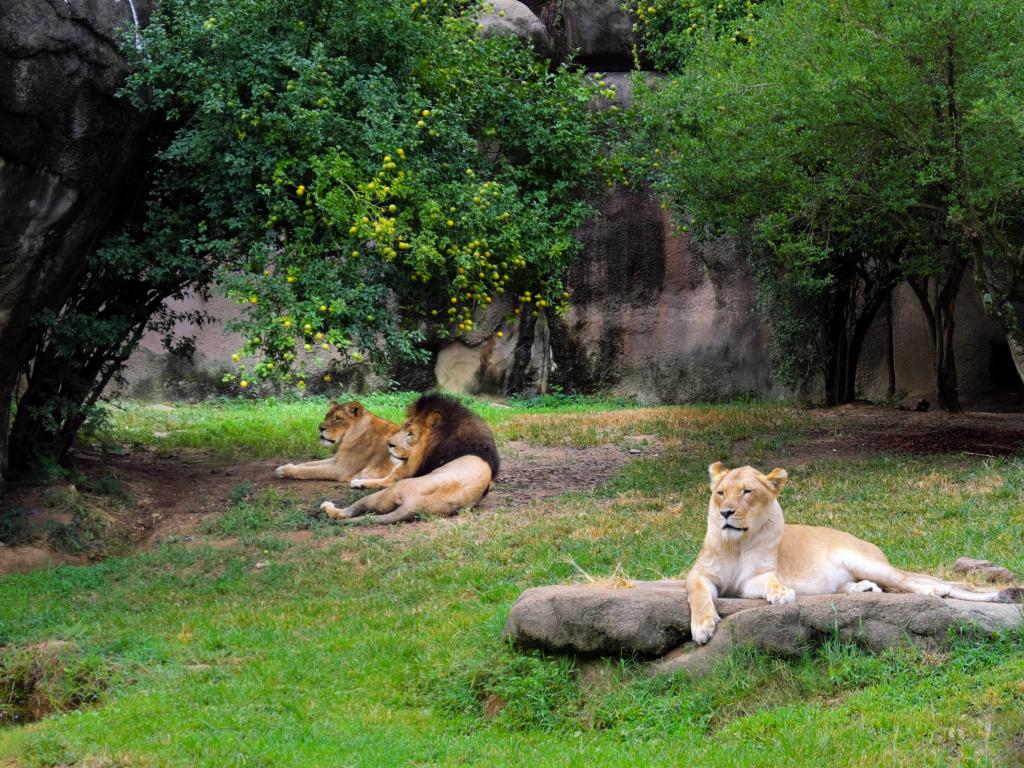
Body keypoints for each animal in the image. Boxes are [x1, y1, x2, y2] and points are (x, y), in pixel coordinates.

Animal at [317, 393, 497, 528]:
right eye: (403, 427)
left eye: (411, 434)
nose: (389, 444)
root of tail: (415, 505)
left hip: (385, 493)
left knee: (345, 512)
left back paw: (329, 506)